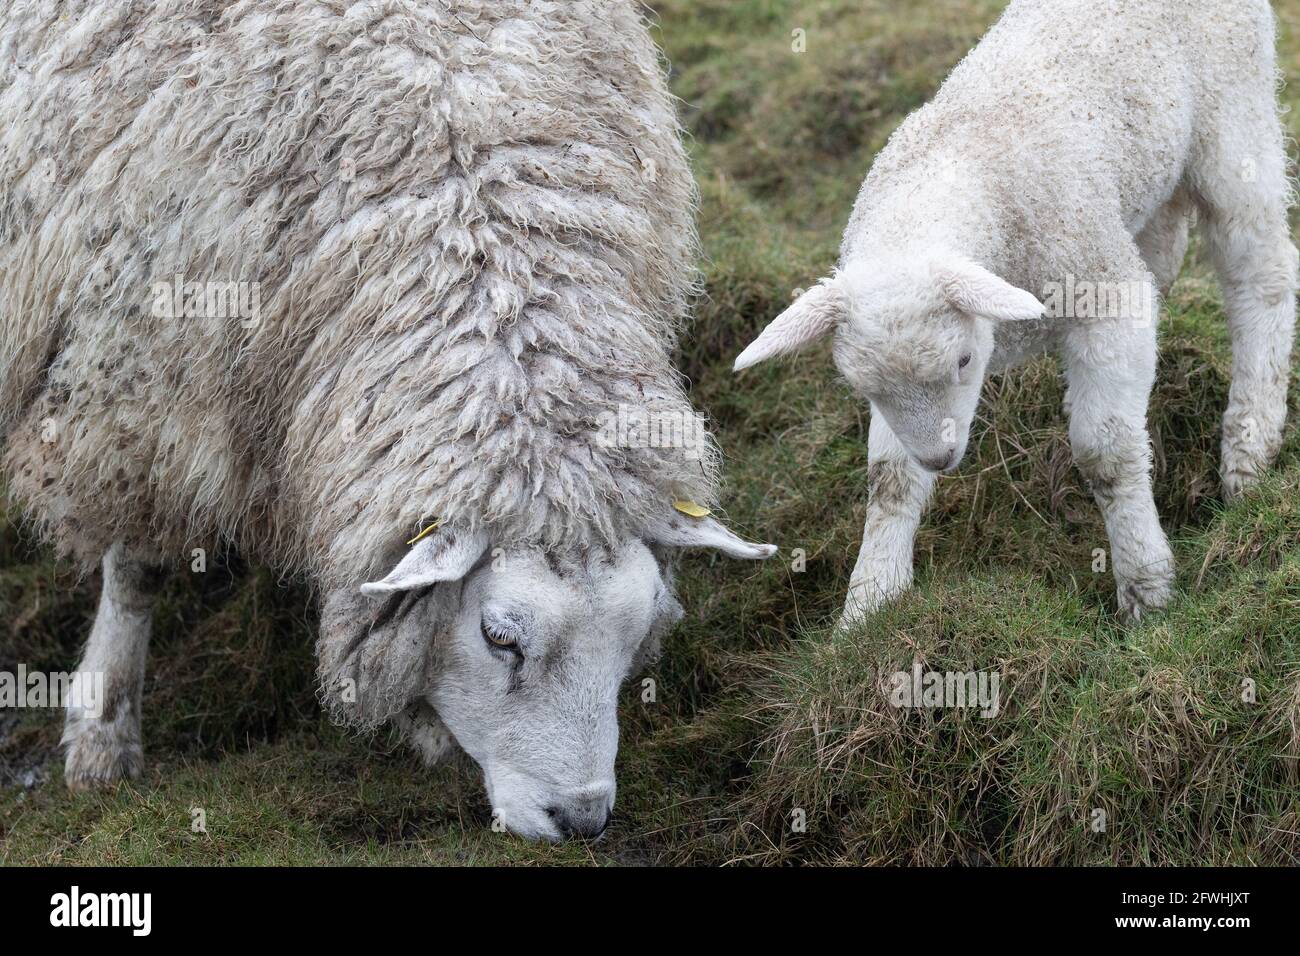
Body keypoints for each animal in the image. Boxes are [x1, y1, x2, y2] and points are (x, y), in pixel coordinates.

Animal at [0, 0, 775, 842]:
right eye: (499, 638)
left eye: (640, 633)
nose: (581, 820)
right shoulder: (136, 390)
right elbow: (138, 568)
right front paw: (103, 733)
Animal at [735, 0, 1297, 625]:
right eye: (864, 389)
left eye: (962, 361)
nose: (940, 459)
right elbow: (889, 480)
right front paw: (868, 605)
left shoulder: (1105, 297)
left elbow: (1106, 454)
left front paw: (1146, 588)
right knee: (1165, 245)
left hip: (1234, 118)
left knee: (1262, 271)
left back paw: (1249, 446)